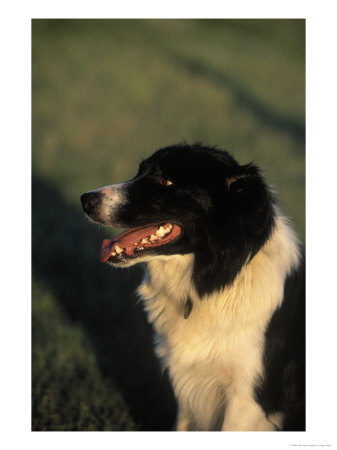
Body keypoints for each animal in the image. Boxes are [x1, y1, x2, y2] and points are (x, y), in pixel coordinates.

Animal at [80, 144, 304, 432]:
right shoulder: (189, 387)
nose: (85, 200)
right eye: (140, 171)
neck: (217, 282)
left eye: (166, 181)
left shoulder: (248, 398)